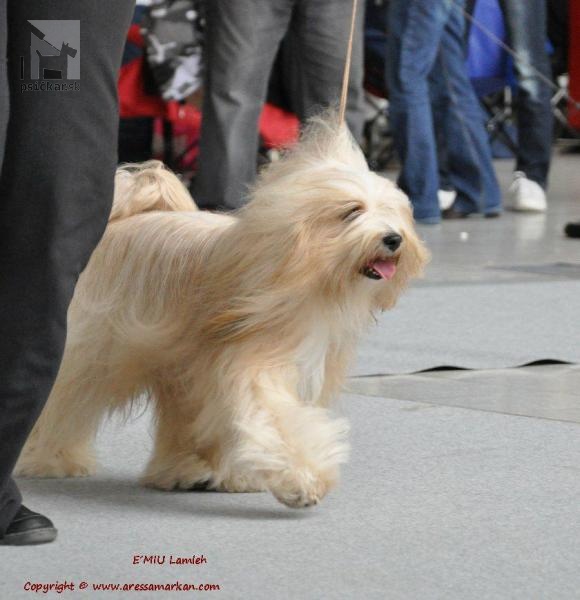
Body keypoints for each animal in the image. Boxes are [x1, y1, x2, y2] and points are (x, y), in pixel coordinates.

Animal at [15, 116, 428, 506]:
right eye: (352, 211)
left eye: (392, 211)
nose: (393, 239)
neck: (308, 279)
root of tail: (121, 220)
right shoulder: (255, 366)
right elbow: (278, 421)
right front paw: (303, 481)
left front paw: (244, 477)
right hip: (99, 351)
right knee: (67, 397)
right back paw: (49, 459)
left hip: (177, 367)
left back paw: (181, 471)